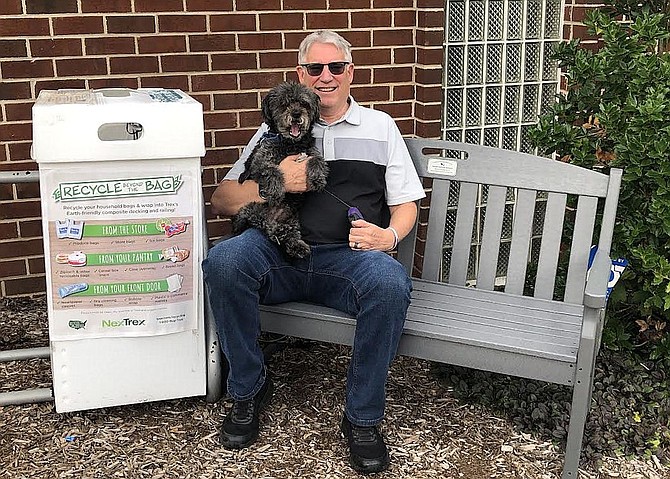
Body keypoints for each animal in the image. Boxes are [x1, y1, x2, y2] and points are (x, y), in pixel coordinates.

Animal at [234, 84, 330, 260]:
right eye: (284, 104)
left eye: (304, 103)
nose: (296, 114)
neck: (291, 144)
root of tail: (266, 219)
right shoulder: (259, 162)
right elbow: (272, 170)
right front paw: (276, 191)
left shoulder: (311, 152)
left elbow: (317, 159)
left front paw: (318, 178)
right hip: (249, 208)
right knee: (273, 232)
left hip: (290, 218)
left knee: (284, 233)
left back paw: (298, 247)